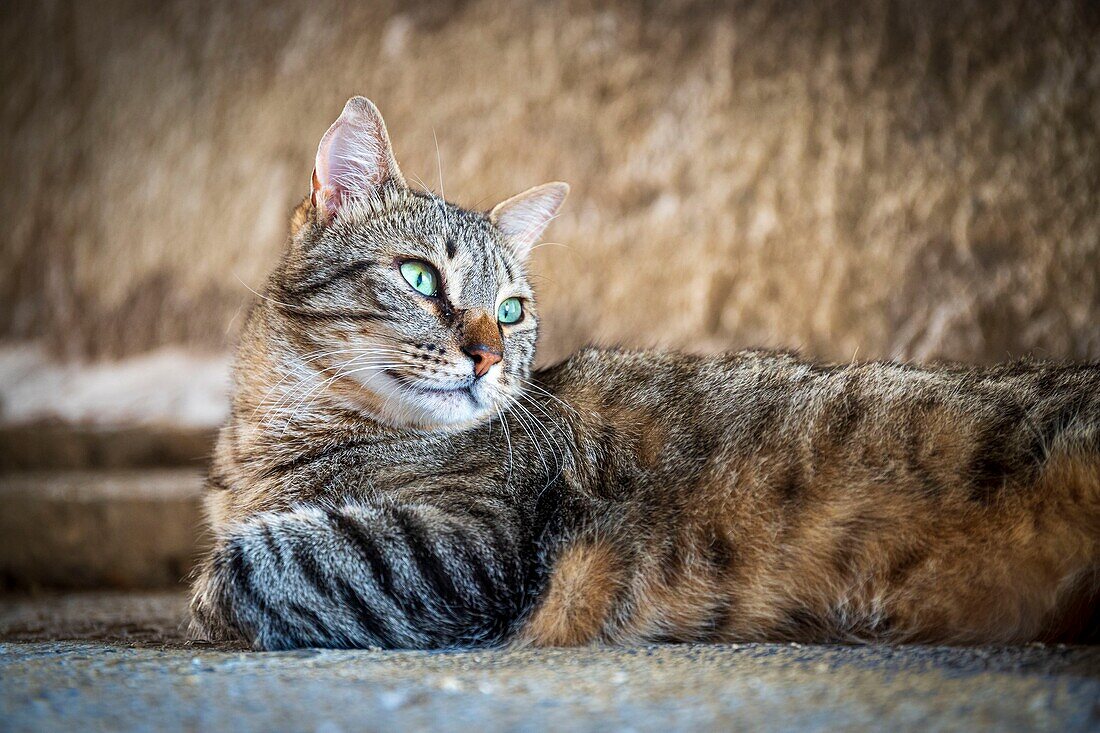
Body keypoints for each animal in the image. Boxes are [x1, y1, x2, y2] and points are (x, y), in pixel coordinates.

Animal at [184, 94, 1095, 647]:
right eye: (419, 277)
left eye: (509, 310)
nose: (486, 354)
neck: (276, 441)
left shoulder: (465, 547)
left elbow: (250, 563)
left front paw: (209, 598)